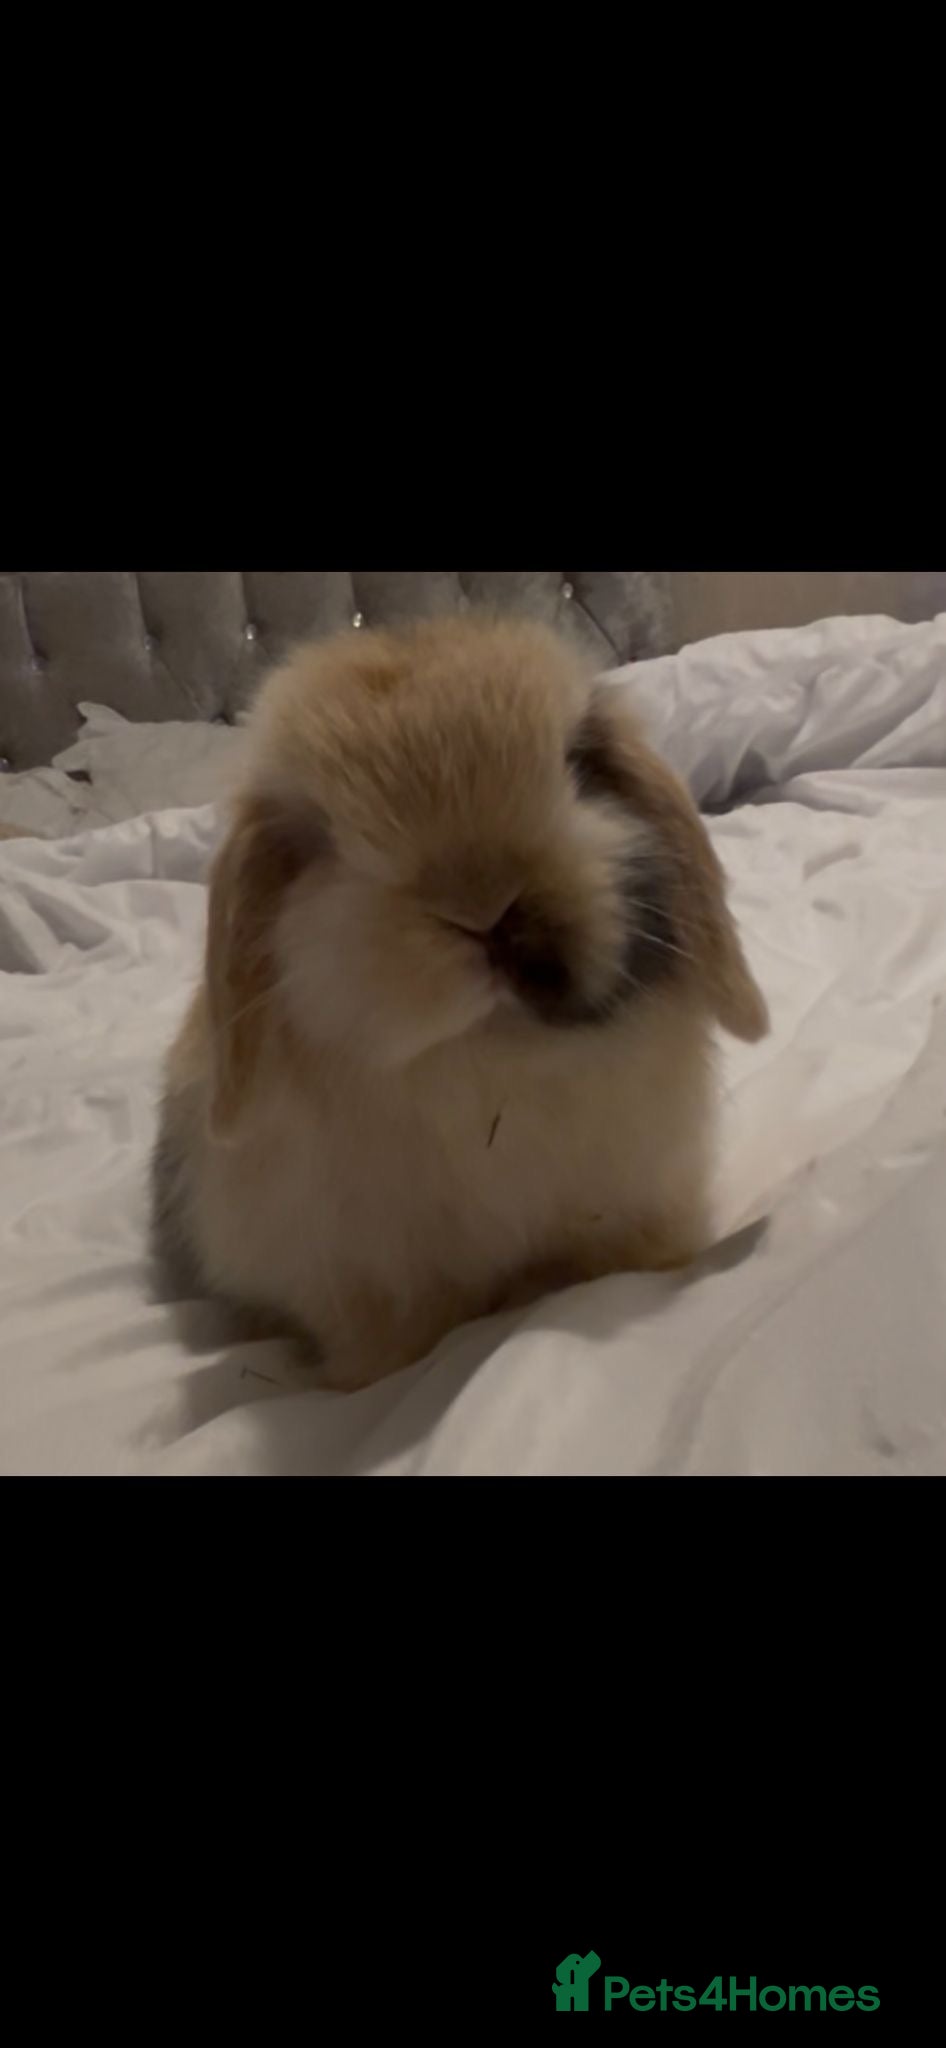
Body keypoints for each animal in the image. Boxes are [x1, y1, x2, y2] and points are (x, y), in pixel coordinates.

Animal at [152, 613, 768, 1390]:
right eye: (319, 837)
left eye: (577, 765)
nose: (484, 906)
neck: (493, 1054)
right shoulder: (360, 1283)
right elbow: (392, 1350)